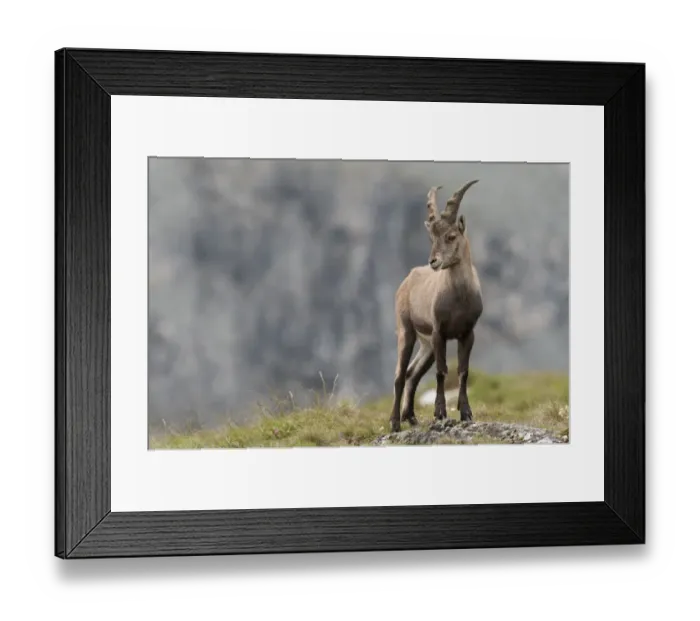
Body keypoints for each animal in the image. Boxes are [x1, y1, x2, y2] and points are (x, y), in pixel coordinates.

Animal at [390, 180, 483, 433]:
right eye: (432, 238)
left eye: (451, 236)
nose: (433, 261)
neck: (458, 298)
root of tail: (407, 279)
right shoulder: (439, 332)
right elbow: (442, 372)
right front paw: (440, 413)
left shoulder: (467, 333)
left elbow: (463, 371)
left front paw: (466, 413)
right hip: (408, 332)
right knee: (400, 374)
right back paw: (395, 422)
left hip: (427, 345)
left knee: (412, 373)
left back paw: (410, 417)